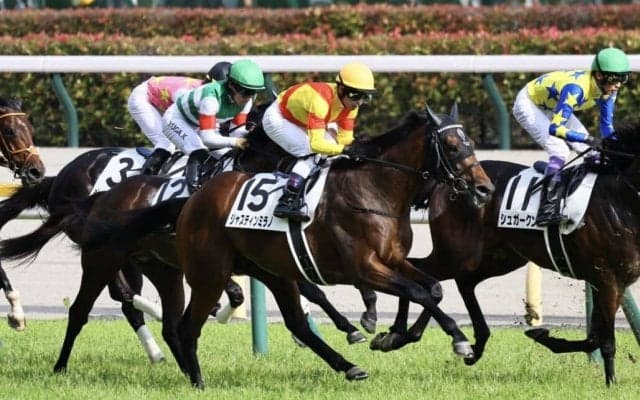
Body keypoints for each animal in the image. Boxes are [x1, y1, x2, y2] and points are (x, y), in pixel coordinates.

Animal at [368, 124, 640, 386]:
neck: (620, 200)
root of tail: (448, 182)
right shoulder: (606, 279)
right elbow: (605, 341)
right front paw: (611, 383)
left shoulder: (612, 282)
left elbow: (594, 338)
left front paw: (543, 335)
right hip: (457, 252)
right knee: (423, 272)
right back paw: (397, 334)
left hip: (497, 257)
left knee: (459, 281)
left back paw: (470, 342)